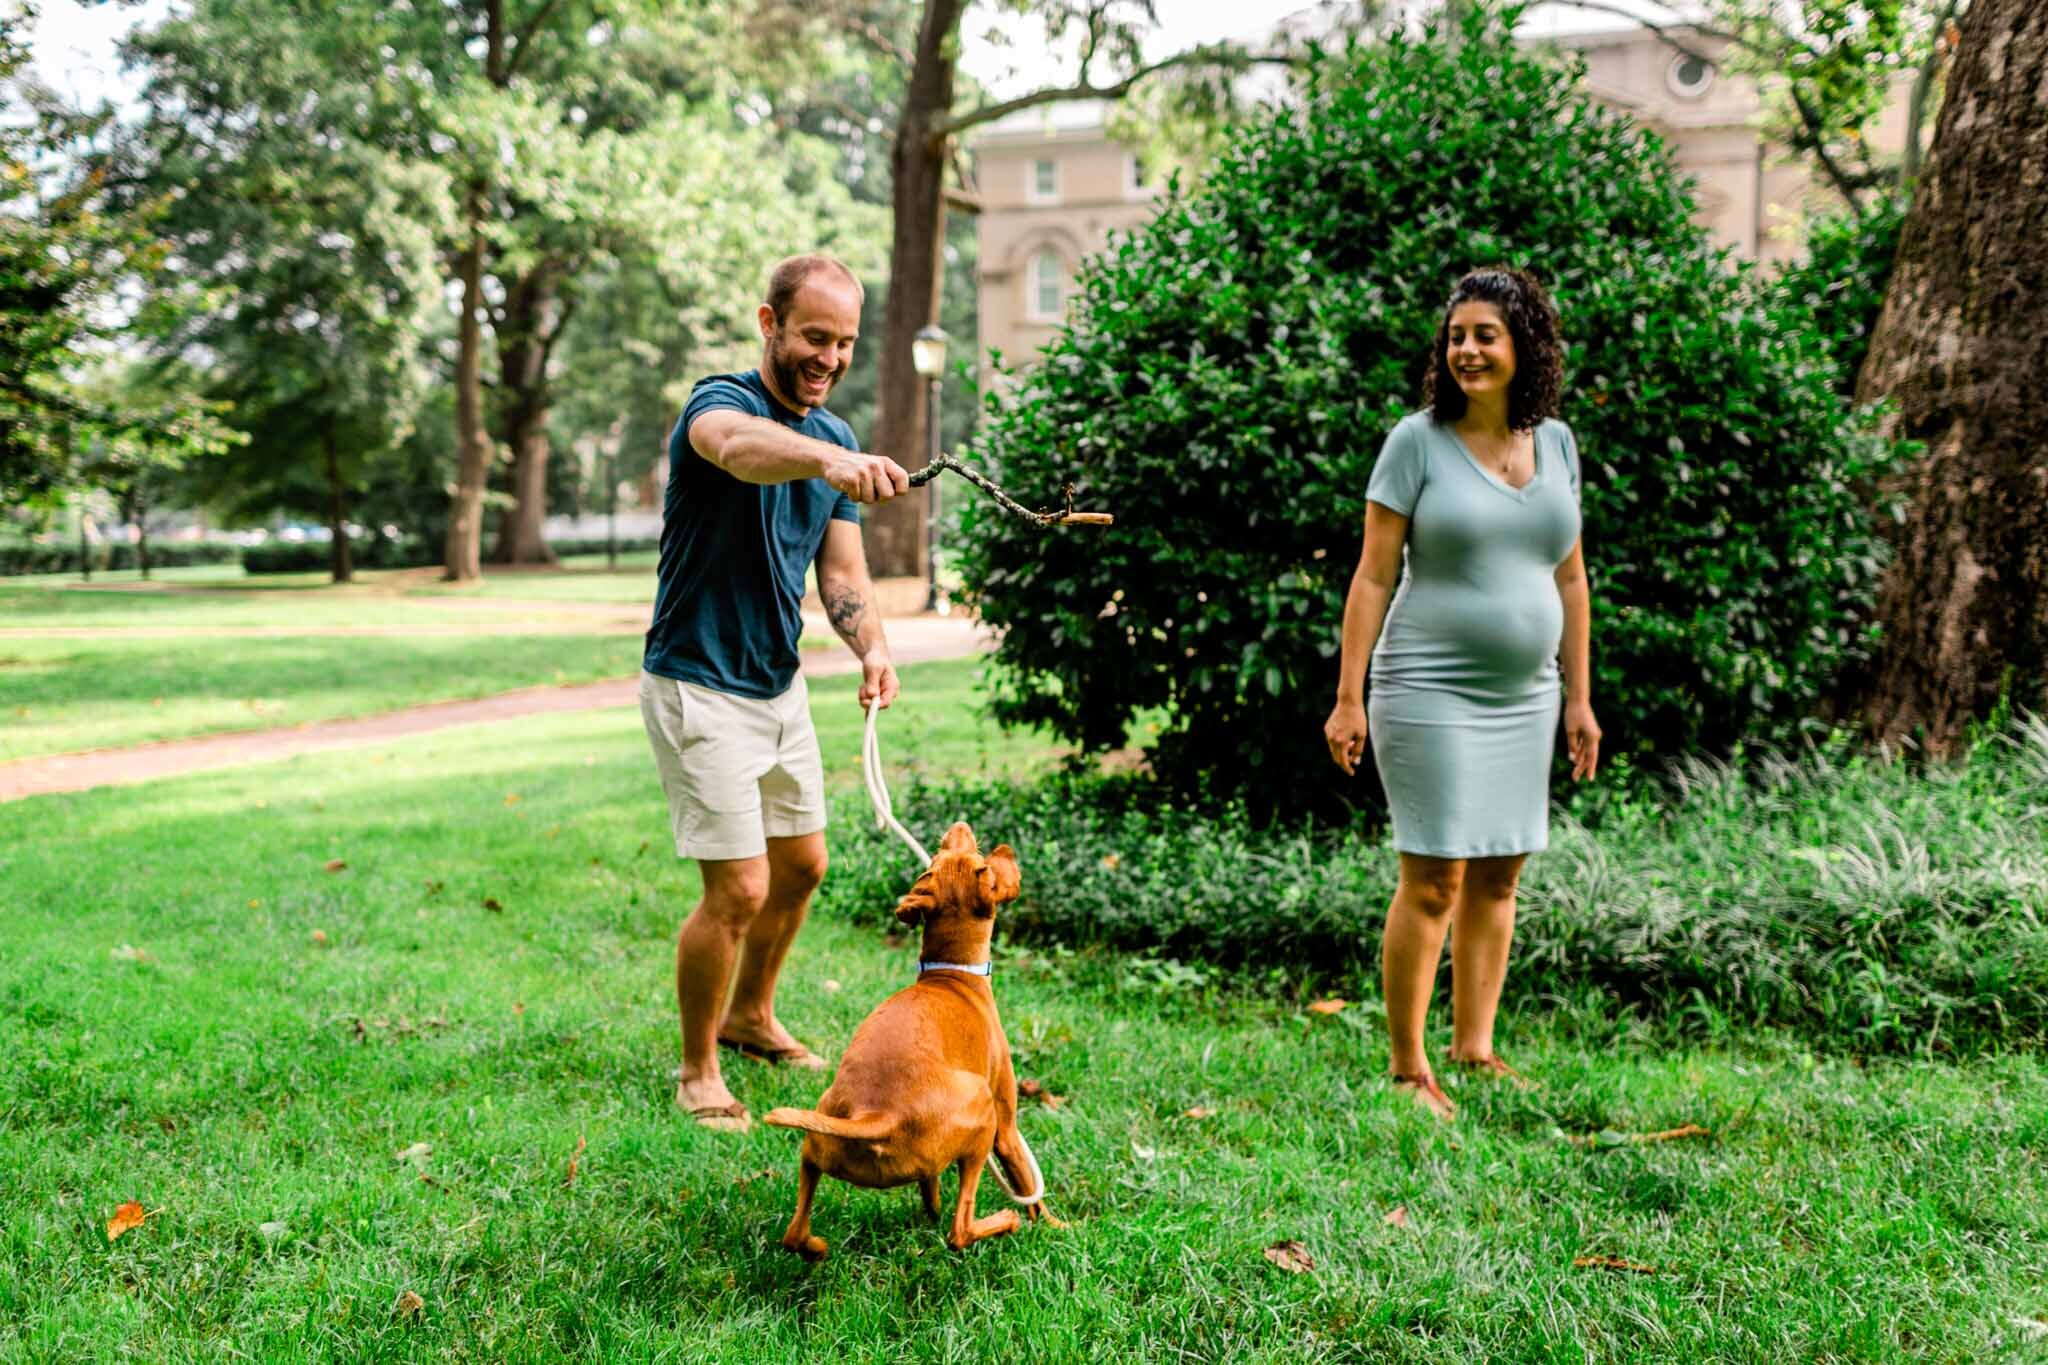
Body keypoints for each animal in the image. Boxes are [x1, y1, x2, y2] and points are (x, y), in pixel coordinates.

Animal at [765, 822, 1064, 1260]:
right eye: (982, 862)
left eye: (936, 861)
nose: (960, 826)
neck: (951, 974)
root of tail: (873, 1116)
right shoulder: (1007, 1131)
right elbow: (1031, 1190)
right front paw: (1060, 1228)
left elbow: (930, 1185)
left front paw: (932, 1205)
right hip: (983, 1111)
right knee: (960, 1230)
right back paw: (1004, 1222)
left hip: (813, 1147)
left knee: (794, 1233)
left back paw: (817, 1247)